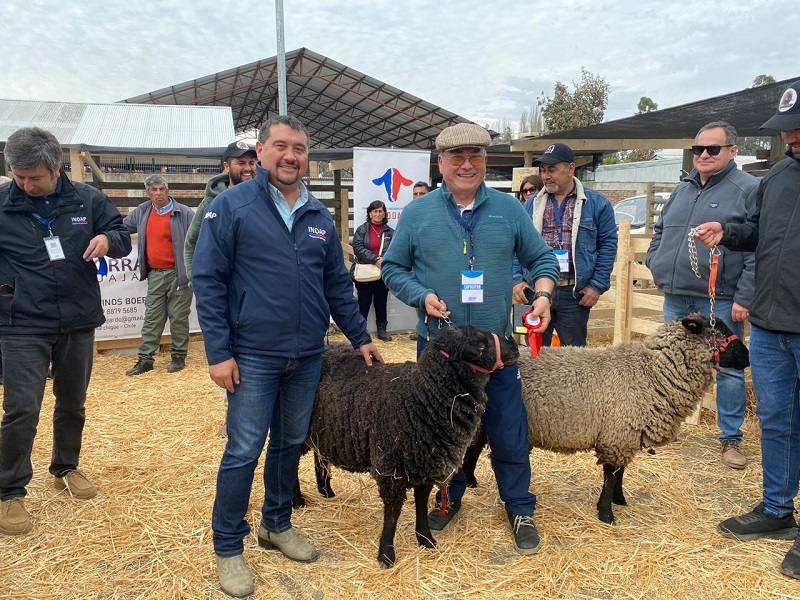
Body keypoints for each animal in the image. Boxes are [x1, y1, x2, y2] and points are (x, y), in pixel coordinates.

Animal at [306, 324, 520, 568]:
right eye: (481, 344)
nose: (515, 349)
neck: (421, 395)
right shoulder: (391, 469)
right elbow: (392, 513)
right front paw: (386, 555)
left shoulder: (426, 464)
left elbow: (421, 502)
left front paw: (426, 539)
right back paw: (297, 502)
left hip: (324, 432)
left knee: (319, 457)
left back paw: (326, 491)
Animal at [462, 314, 752, 524]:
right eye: (718, 331)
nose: (747, 358)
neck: (651, 373)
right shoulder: (616, 437)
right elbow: (611, 475)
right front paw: (606, 513)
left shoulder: (623, 435)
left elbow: (620, 472)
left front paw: (619, 500)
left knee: (474, 449)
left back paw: (471, 480)